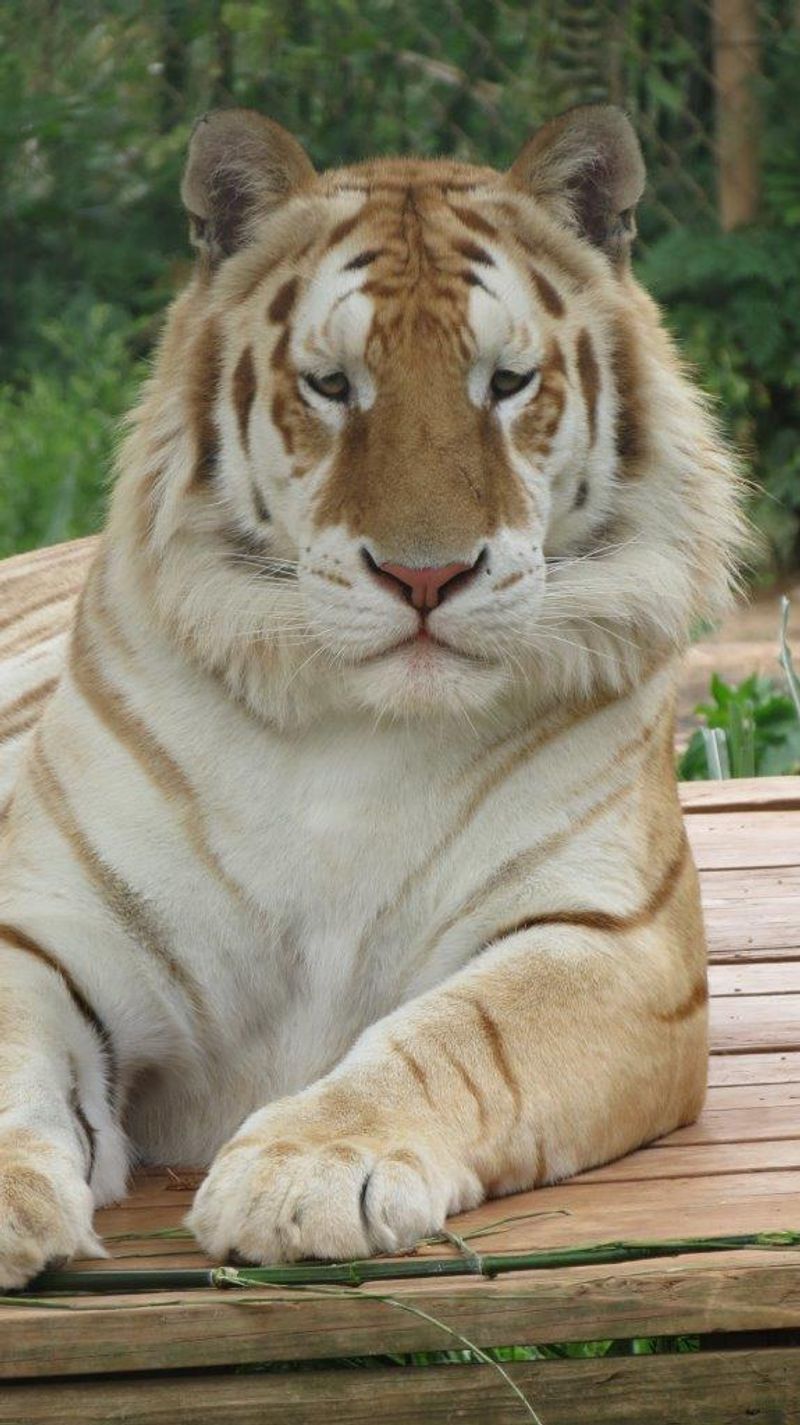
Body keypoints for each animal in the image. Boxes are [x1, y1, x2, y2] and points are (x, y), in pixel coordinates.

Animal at [0, 104, 744, 1287]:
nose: (425, 576)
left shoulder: (607, 934)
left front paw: (306, 1173)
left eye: (506, 382)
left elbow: (460, 1034)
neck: (357, 732)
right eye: (332, 386)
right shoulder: (50, 929)